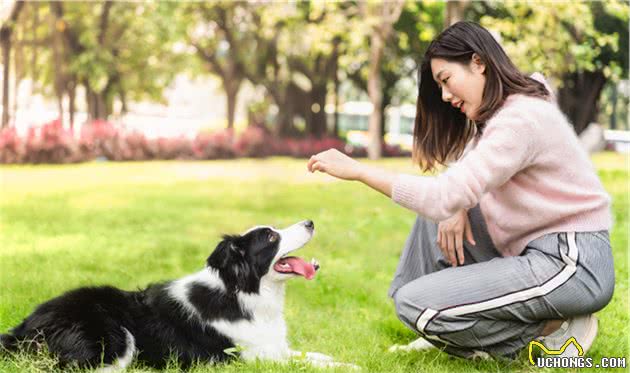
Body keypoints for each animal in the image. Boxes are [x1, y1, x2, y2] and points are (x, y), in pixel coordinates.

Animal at [0, 221, 356, 370]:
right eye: (270, 237)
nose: (310, 221)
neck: (243, 293)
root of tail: (23, 328)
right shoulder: (247, 356)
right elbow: (307, 363)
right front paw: (349, 367)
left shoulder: (272, 347)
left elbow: (312, 355)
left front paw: (344, 360)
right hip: (115, 337)